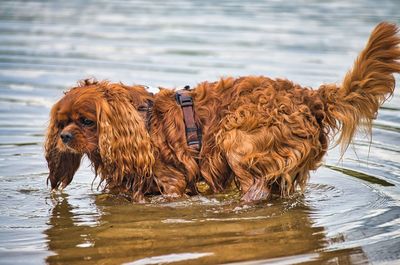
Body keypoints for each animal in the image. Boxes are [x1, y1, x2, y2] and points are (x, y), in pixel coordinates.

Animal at [45, 22, 398, 201]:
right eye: (61, 124)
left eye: (86, 122)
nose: (65, 137)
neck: (139, 122)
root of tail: (310, 96)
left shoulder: (172, 183)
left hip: (236, 141)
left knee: (255, 188)